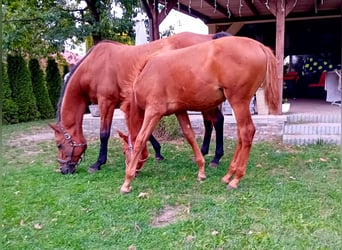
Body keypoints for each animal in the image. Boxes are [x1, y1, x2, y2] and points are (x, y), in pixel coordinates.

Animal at [48, 32, 230, 175]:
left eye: (59, 145)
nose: (63, 170)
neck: (94, 66)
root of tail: (210, 38)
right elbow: (145, 132)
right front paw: (157, 153)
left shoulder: (106, 102)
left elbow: (104, 134)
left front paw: (98, 163)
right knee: (209, 123)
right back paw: (204, 152)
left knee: (218, 121)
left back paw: (216, 158)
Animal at [119, 36, 280, 193]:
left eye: (125, 151)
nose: (135, 171)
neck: (147, 73)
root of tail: (260, 46)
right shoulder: (180, 110)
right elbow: (189, 135)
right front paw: (201, 171)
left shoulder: (153, 111)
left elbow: (140, 140)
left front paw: (127, 181)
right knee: (241, 134)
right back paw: (228, 175)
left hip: (238, 102)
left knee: (247, 132)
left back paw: (236, 179)